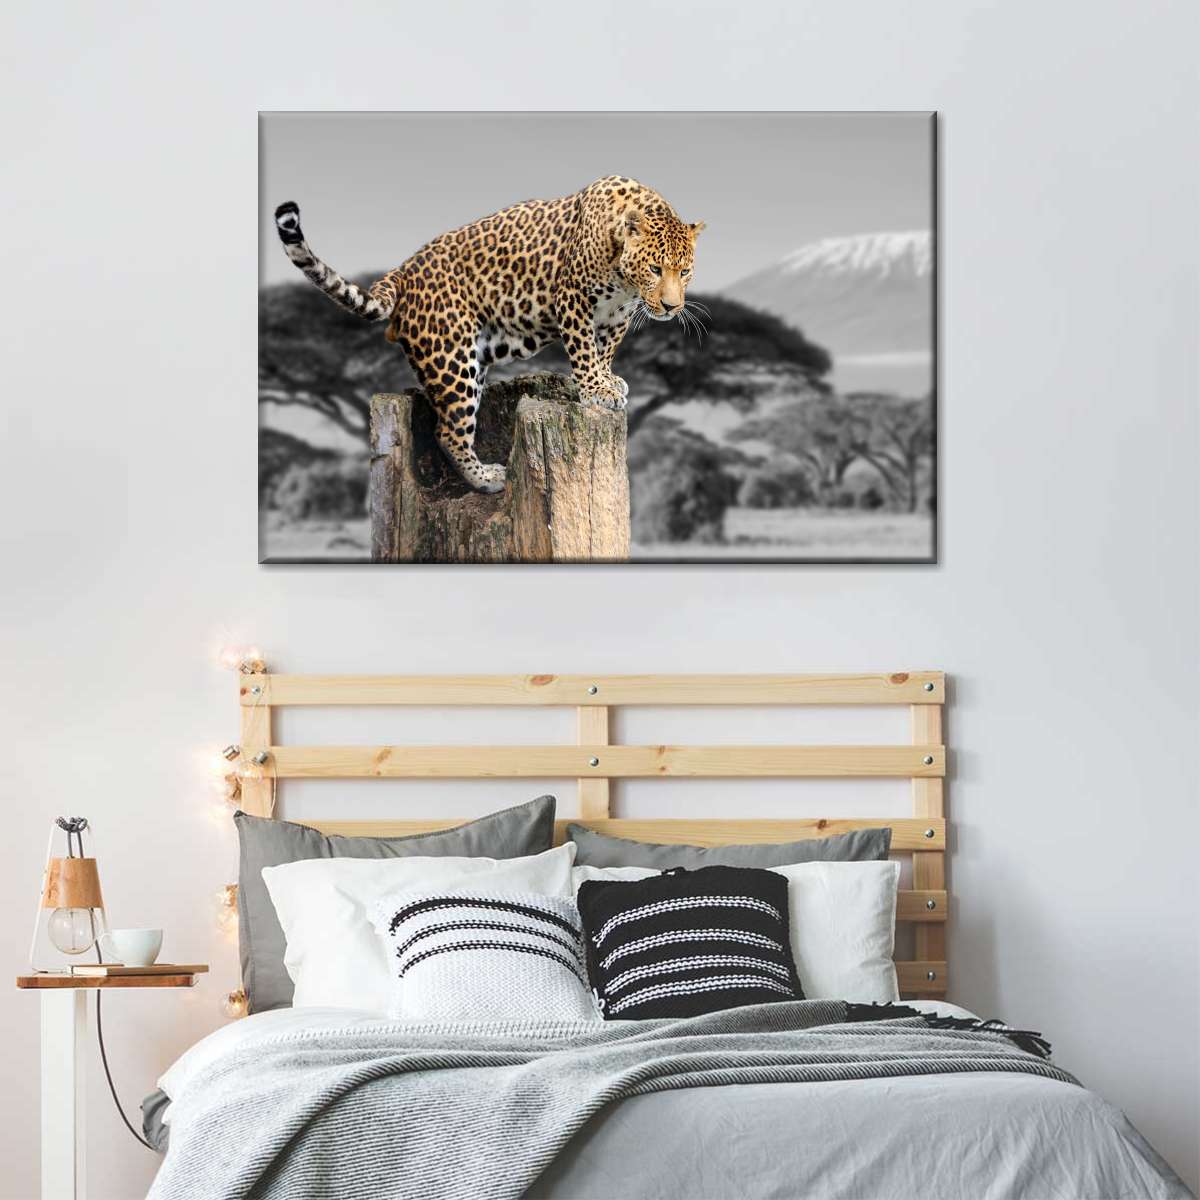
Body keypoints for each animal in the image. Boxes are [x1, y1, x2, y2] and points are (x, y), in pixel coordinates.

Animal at [274, 176, 704, 492]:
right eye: (655, 268)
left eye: (684, 271)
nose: (672, 307)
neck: (625, 280)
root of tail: (404, 270)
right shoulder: (572, 299)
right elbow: (584, 349)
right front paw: (596, 390)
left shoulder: (617, 316)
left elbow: (605, 350)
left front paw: (607, 380)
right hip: (452, 358)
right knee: (447, 431)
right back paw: (487, 479)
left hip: (473, 360)